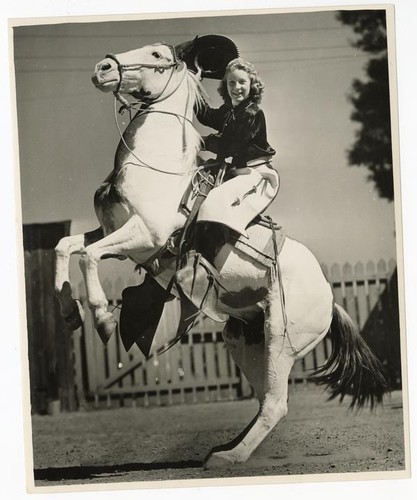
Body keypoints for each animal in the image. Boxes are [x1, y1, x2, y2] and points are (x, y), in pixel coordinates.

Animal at [53, 39, 386, 468]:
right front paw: (69, 311)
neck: (157, 169)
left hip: (281, 340)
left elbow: (89, 256)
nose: (103, 68)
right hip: (245, 340)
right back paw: (226, 448)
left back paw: (230, 457)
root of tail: (330, 301)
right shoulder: (115, 234)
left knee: (275, 404)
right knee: (263, 401)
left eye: (157, 55)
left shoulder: (145, 235)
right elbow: (67, 247)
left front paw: (102, 319)